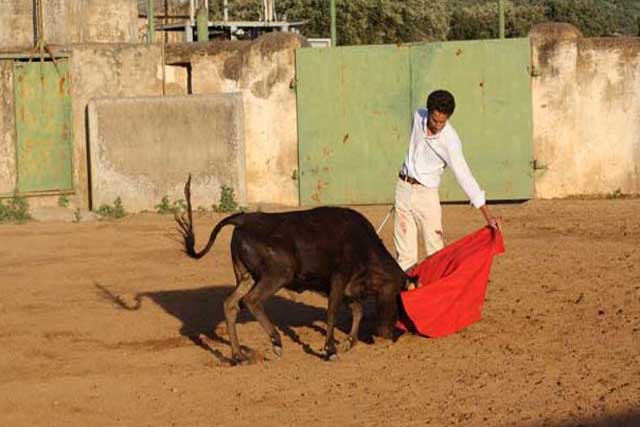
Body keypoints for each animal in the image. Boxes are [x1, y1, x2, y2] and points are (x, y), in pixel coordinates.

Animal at [176, 177, 416, 364]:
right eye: (397, 296)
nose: (388, 335)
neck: (362, 244)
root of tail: (243, 218)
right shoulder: (338, 279)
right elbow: (333, 311)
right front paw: (330, 350)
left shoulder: (345, 286)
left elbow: (357, 310)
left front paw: (348, 343)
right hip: (277, 274)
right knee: (252, 301)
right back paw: (276, 342)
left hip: (246, 277)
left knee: (230, 305)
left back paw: (239, 355)